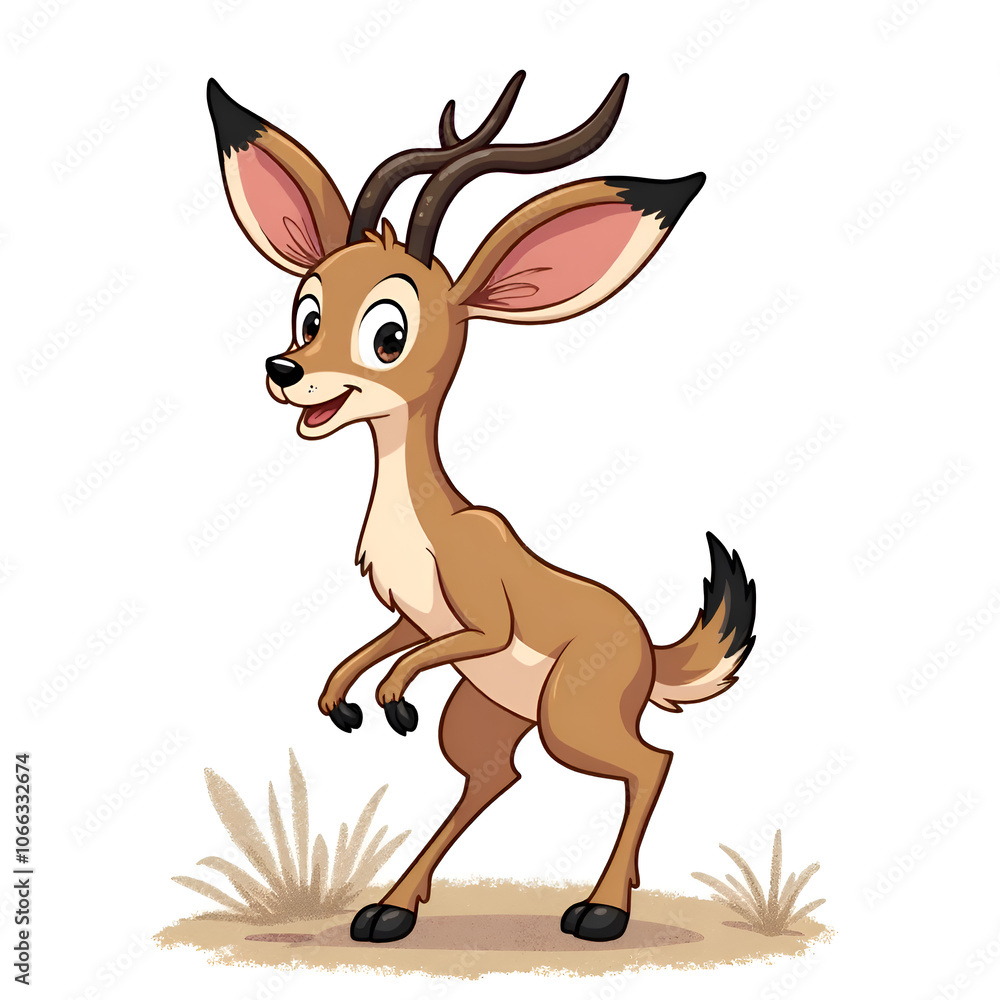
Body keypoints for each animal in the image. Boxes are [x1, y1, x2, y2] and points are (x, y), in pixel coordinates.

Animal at [206, 71, 755, 944]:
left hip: (570, 719)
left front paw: (389, 700)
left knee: (650, 762)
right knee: (495, 779)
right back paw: (388, 912)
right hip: (486, 715)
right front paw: (342, 700)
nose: (284, 370)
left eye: (389, 332)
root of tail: (649, 649)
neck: (423, 525)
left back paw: (601, 910)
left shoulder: (479, 623)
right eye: (308, 310)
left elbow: (435, 652)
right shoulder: (410, 615)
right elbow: (377, 649)